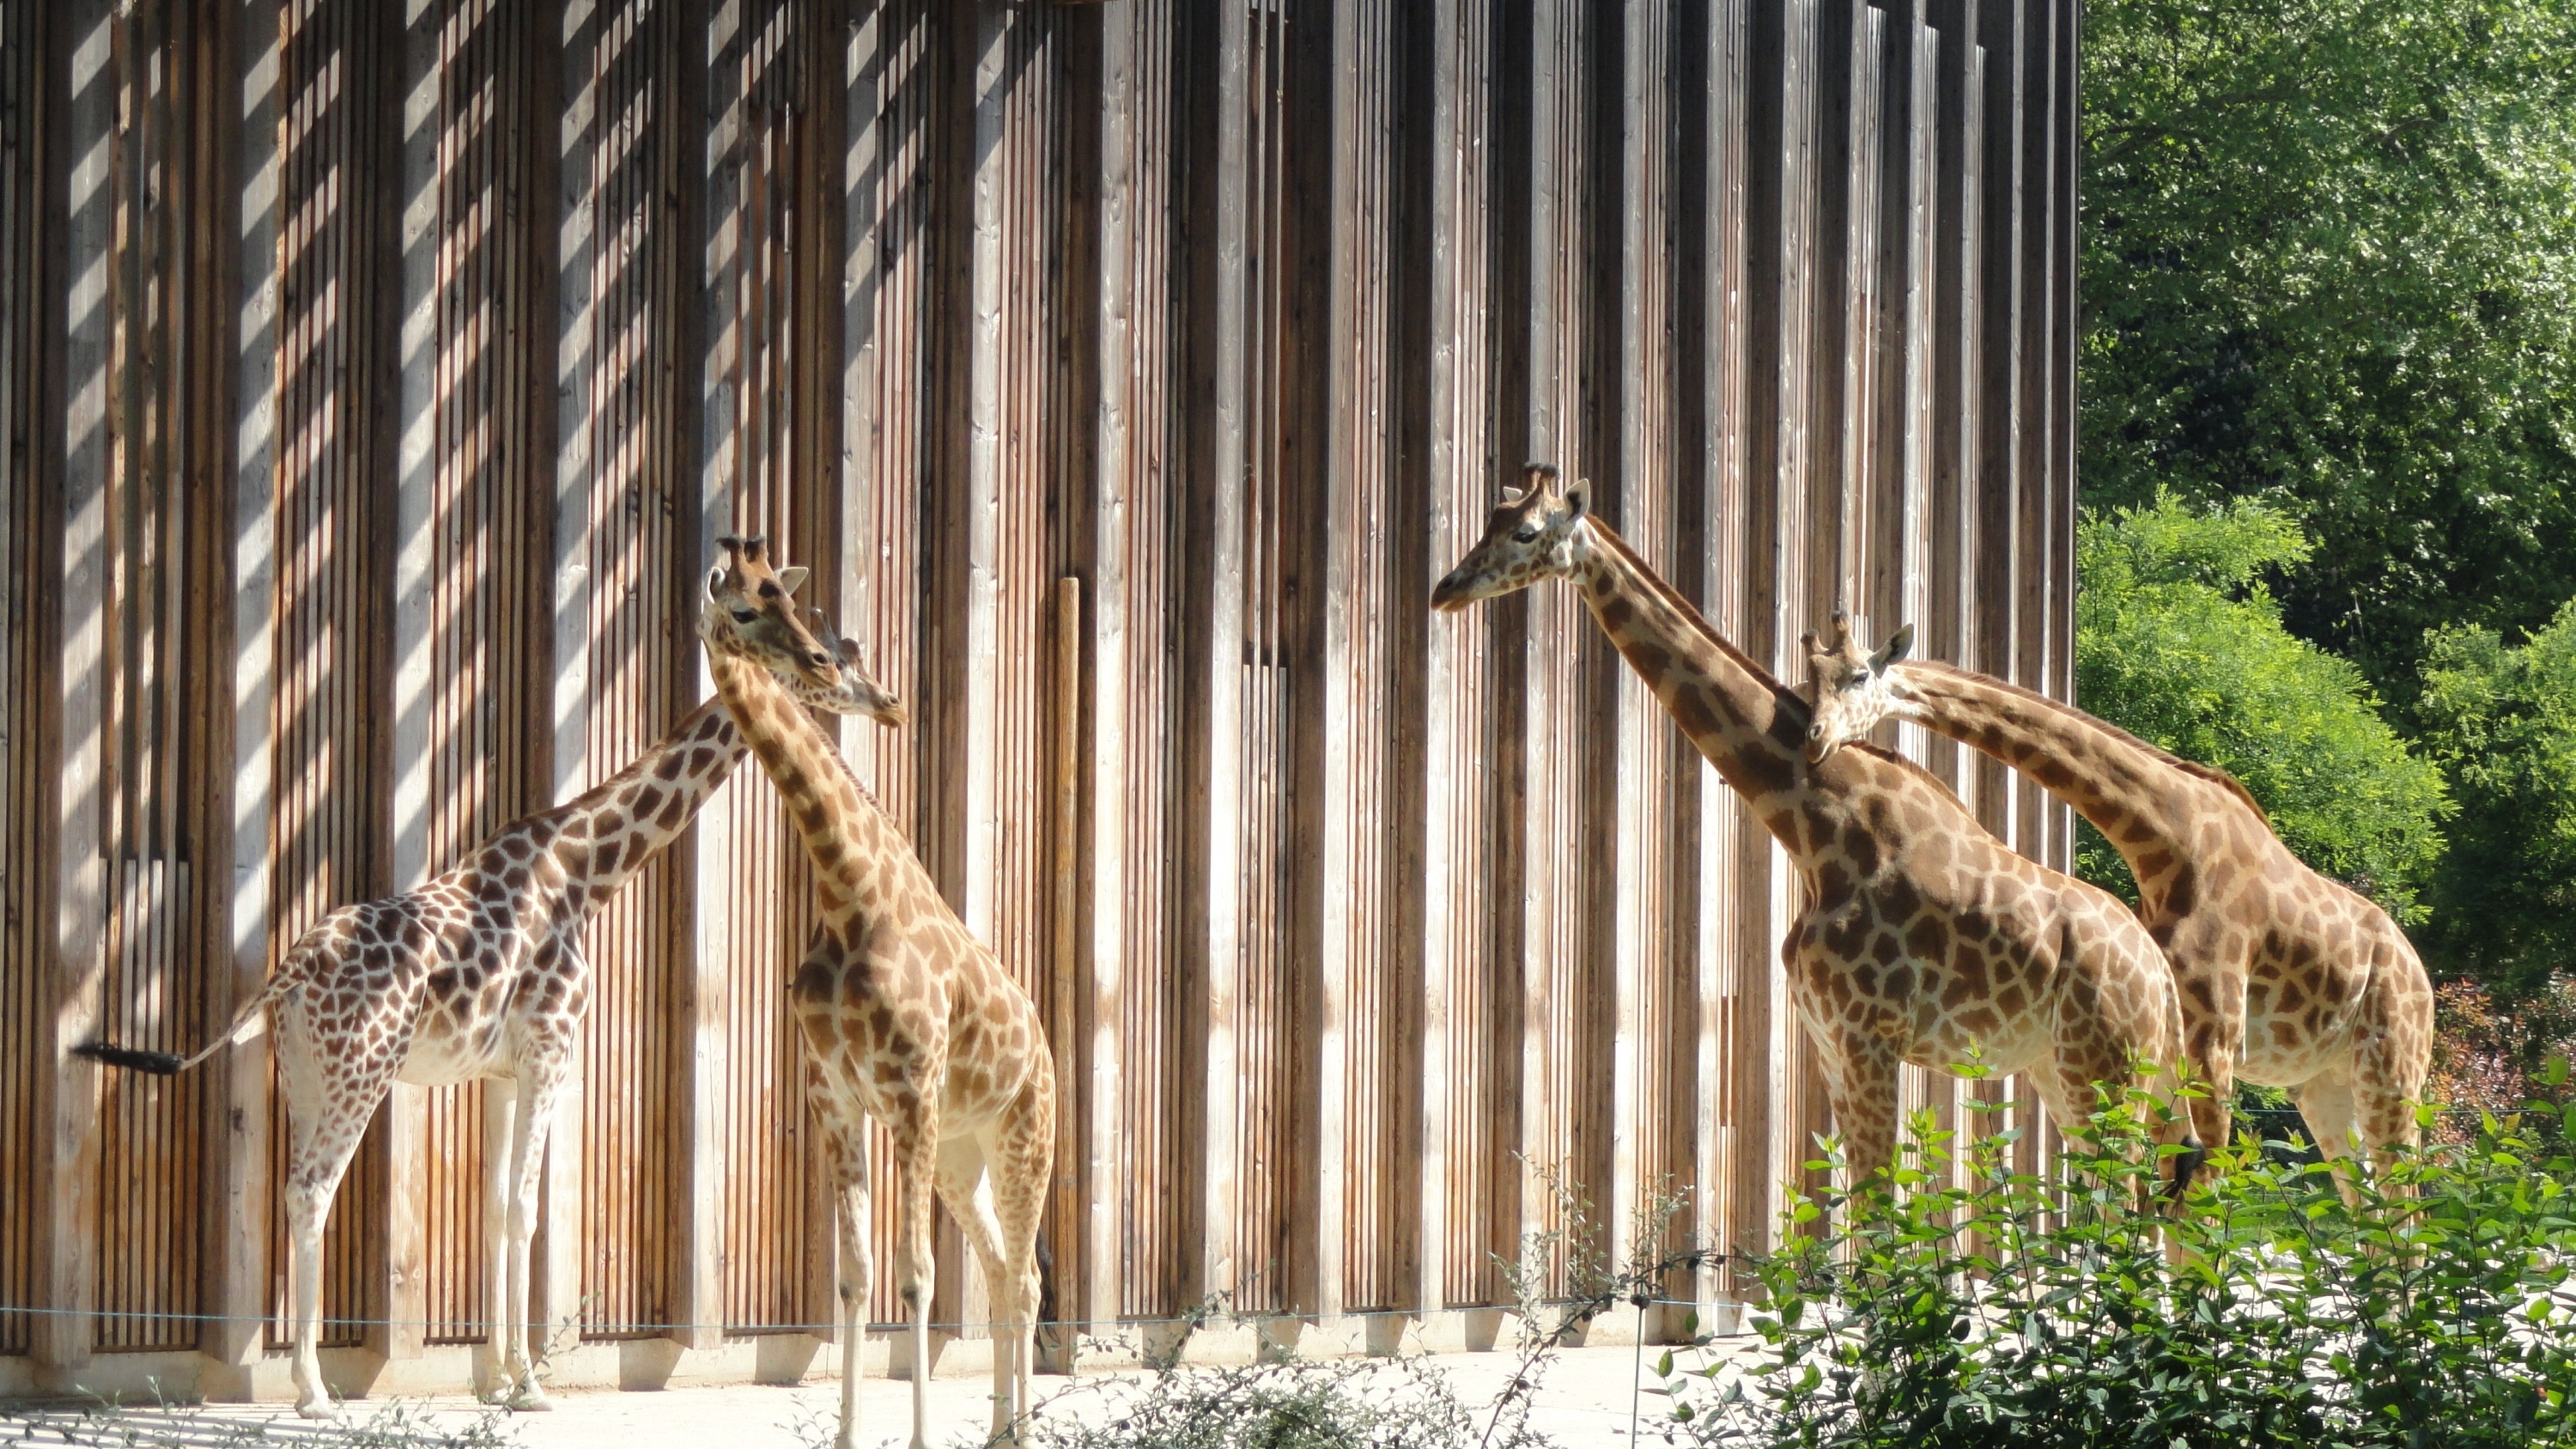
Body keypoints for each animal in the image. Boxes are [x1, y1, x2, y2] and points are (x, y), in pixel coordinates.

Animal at [73, 606, 907, 1412]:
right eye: (827, 656)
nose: (887, 702)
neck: (586, 871)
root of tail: (293, 968)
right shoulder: (550, 1050)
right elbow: (525, 1212)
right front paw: (531, 1385)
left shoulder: (501, 1072)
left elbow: (496, 1210)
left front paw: (502, 1379)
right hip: (359, 1075)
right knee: (313, 1190)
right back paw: (313, 1394)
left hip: (303, 1074)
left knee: (293, 1190)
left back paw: (308, 1380)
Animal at [696, 533, 1056, 1443]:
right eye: (744, 606)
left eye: (787, 600)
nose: (822, 662)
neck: (847, 895)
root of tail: (1045, 1049)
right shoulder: (835, 1090)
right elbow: (856, 1276)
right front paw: (850, 1432)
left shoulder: (911, 1090)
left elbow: (915, 1275)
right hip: (960, 1155)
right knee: (997, 1269)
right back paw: (997, 1429)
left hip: (1022, 1137)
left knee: (1026, 1279)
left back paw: (1021, 1430)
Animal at [1422, 464, 2205, 1196]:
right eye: (1490, 520)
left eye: (1527, 533)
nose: (1444, 588)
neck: (1815, 832)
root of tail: (2162, 981)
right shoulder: (1828, 1038)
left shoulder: (1868, 1037)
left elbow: (1881, 1205)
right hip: (2062, 1067)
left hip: (2104, 1066)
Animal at [1803, 613, 2421, 1165]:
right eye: (1811, 677)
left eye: (1857, 676)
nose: (1814, 736)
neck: (2166, 843)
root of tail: (2420, 974)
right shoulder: (2177, 1037)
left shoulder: (2215, 1037)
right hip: (2324, 1083)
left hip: (2392, 1071)